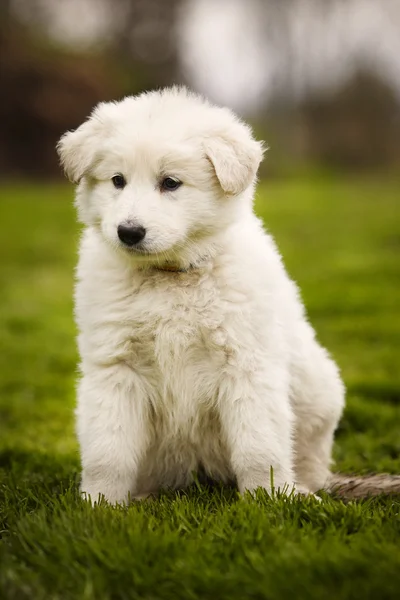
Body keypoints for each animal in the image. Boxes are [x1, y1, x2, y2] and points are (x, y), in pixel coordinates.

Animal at [57, 86, 346, 504]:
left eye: (170, 183)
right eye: (117, 180)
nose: (129, 232)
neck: (171, 276)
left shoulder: (246, 362)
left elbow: (259, 447)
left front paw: (269, 498)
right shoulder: (116, 366)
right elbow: (108, 451)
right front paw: (100, 505)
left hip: (318, 391)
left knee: (310, 457)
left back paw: (302, 489)